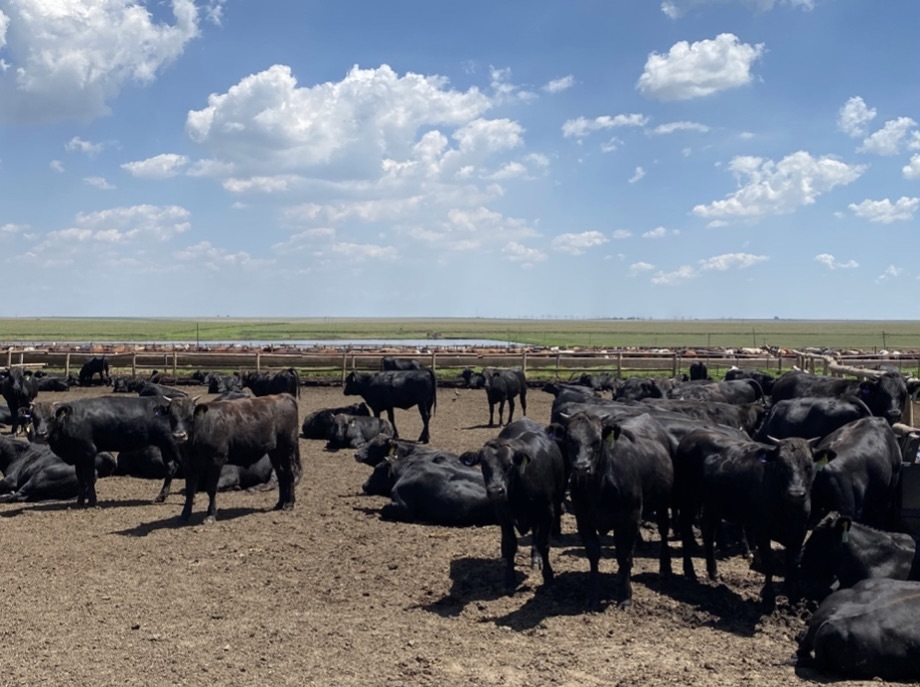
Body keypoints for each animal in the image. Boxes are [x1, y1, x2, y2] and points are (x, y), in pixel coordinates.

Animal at [34, 396, 184, 507]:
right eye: (34, 418)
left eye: (51, 418)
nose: (41, 433)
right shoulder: (78, 456)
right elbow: (80, 478)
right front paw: (80, 501)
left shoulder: (89, 452)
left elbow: (88, 477)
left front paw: (92, 501)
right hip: (165, 446)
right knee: (170, 468)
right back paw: (161, 496)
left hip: (174, 446)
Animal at [156, 393, 301, 523]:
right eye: (171, 416)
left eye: (190, 416)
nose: (179, 435)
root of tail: (283, 396)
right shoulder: (189, 465)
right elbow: (190, 490)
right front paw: (184, 515)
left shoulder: (216, 462)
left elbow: (211, 489)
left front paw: (210, 515)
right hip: (275, 451)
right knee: (281, 475)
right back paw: (279, 503)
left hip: (287, 448)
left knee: (290, 473)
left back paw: (289, 504)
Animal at [464, 417, 566, 594]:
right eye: (483, 465)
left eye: (509, 465)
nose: (496, 491)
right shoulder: (503, 515)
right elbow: (510, 545)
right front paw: (509, 579)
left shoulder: (547, 513)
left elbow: (543, 544)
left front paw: (548, 576)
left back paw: (536, 559)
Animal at [553, 412, 674, 608]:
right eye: (570, 440)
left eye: (597, 441)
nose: (581, 468)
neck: (600, 487)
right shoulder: (584, 520)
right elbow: (594, 554)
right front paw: (593, 594)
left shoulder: (629, 519)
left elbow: (623, 555)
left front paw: (625, 596)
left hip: (662, 503)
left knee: (663, 533)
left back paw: (665, 567)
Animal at [674, 429, 822, 607]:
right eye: (781, 465)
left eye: (809, 465)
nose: (796, 494)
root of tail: (694, 433)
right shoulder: (762, 531)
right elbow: (768, 564)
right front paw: (769, 599)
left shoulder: (799, 532)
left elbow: (793, 565)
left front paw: (794, 599)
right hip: (687, 497)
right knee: (685, 527)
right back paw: (689, 570)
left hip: (712, 503)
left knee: (707, 529)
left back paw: (713, 571)